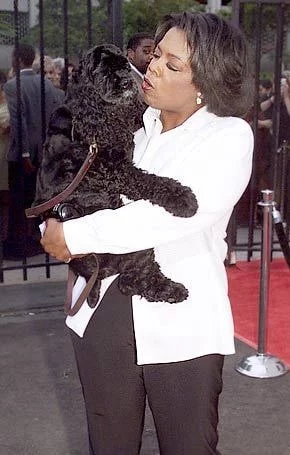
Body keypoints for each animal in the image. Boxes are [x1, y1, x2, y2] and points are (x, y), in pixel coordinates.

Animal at [32, 44, 198, 312]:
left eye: (124, 65)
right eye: (102, 71)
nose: (127, 82)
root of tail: (97, 273)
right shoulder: (107, 168)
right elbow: (145, 181)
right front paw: (183, 199)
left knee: (131, 280)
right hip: (136, 245)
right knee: (129, 282)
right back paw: (173, 290)